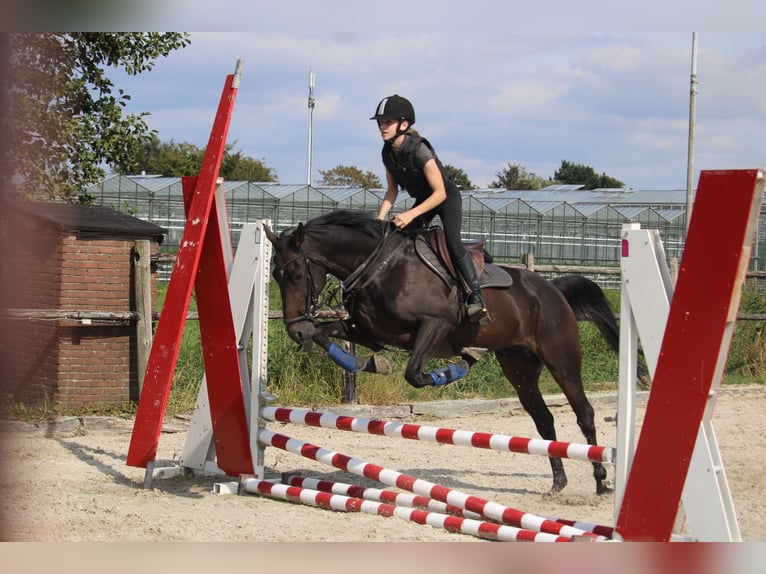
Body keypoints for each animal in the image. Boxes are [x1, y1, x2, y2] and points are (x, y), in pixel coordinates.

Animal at [262, 212, 616, 496]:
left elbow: (415, 374)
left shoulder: (435, 325)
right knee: (543, 418)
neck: (379, 266)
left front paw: (452, 370)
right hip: (519, 368)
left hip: (561, 360)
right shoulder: (369, 331)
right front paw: (373, 363)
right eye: (275, 275)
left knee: (584, 413)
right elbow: (328, 336)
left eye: (296, 274)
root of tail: (552, 288)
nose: (295, 330)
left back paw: (601, 479)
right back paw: (558, 482)